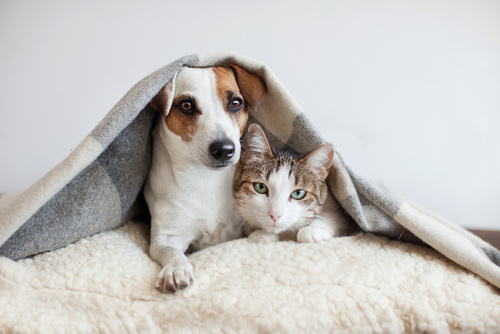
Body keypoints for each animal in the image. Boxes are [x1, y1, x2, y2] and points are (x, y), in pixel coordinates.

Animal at [144, 64, 268, 290]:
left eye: (236, 103)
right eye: (186, 105)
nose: (224, 149)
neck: (205, 178)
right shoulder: (165, 237)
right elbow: (170, 251)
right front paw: (176, 268)